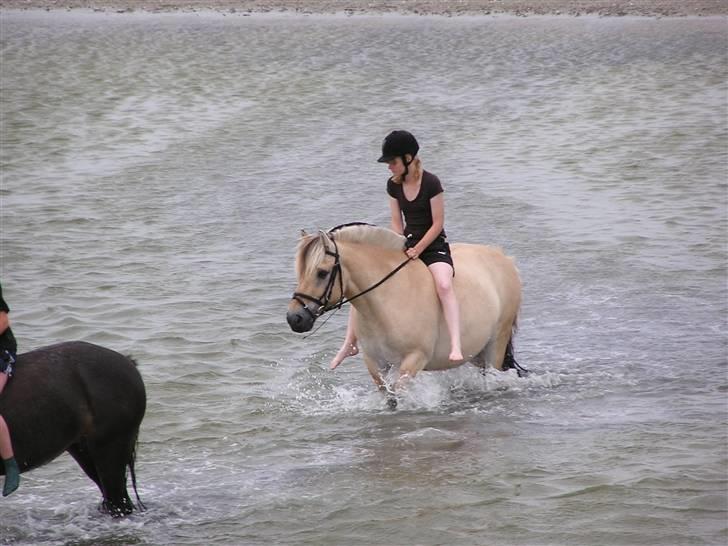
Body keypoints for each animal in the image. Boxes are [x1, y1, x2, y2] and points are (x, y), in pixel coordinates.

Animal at [288, 222, 520, 404]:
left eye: (322, 273)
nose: (294, 319)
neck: (387, 299)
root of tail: (504, 258)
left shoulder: (414, 359)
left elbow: (398, 394)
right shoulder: (375, 362)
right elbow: (387, 395)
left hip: (496, 344)